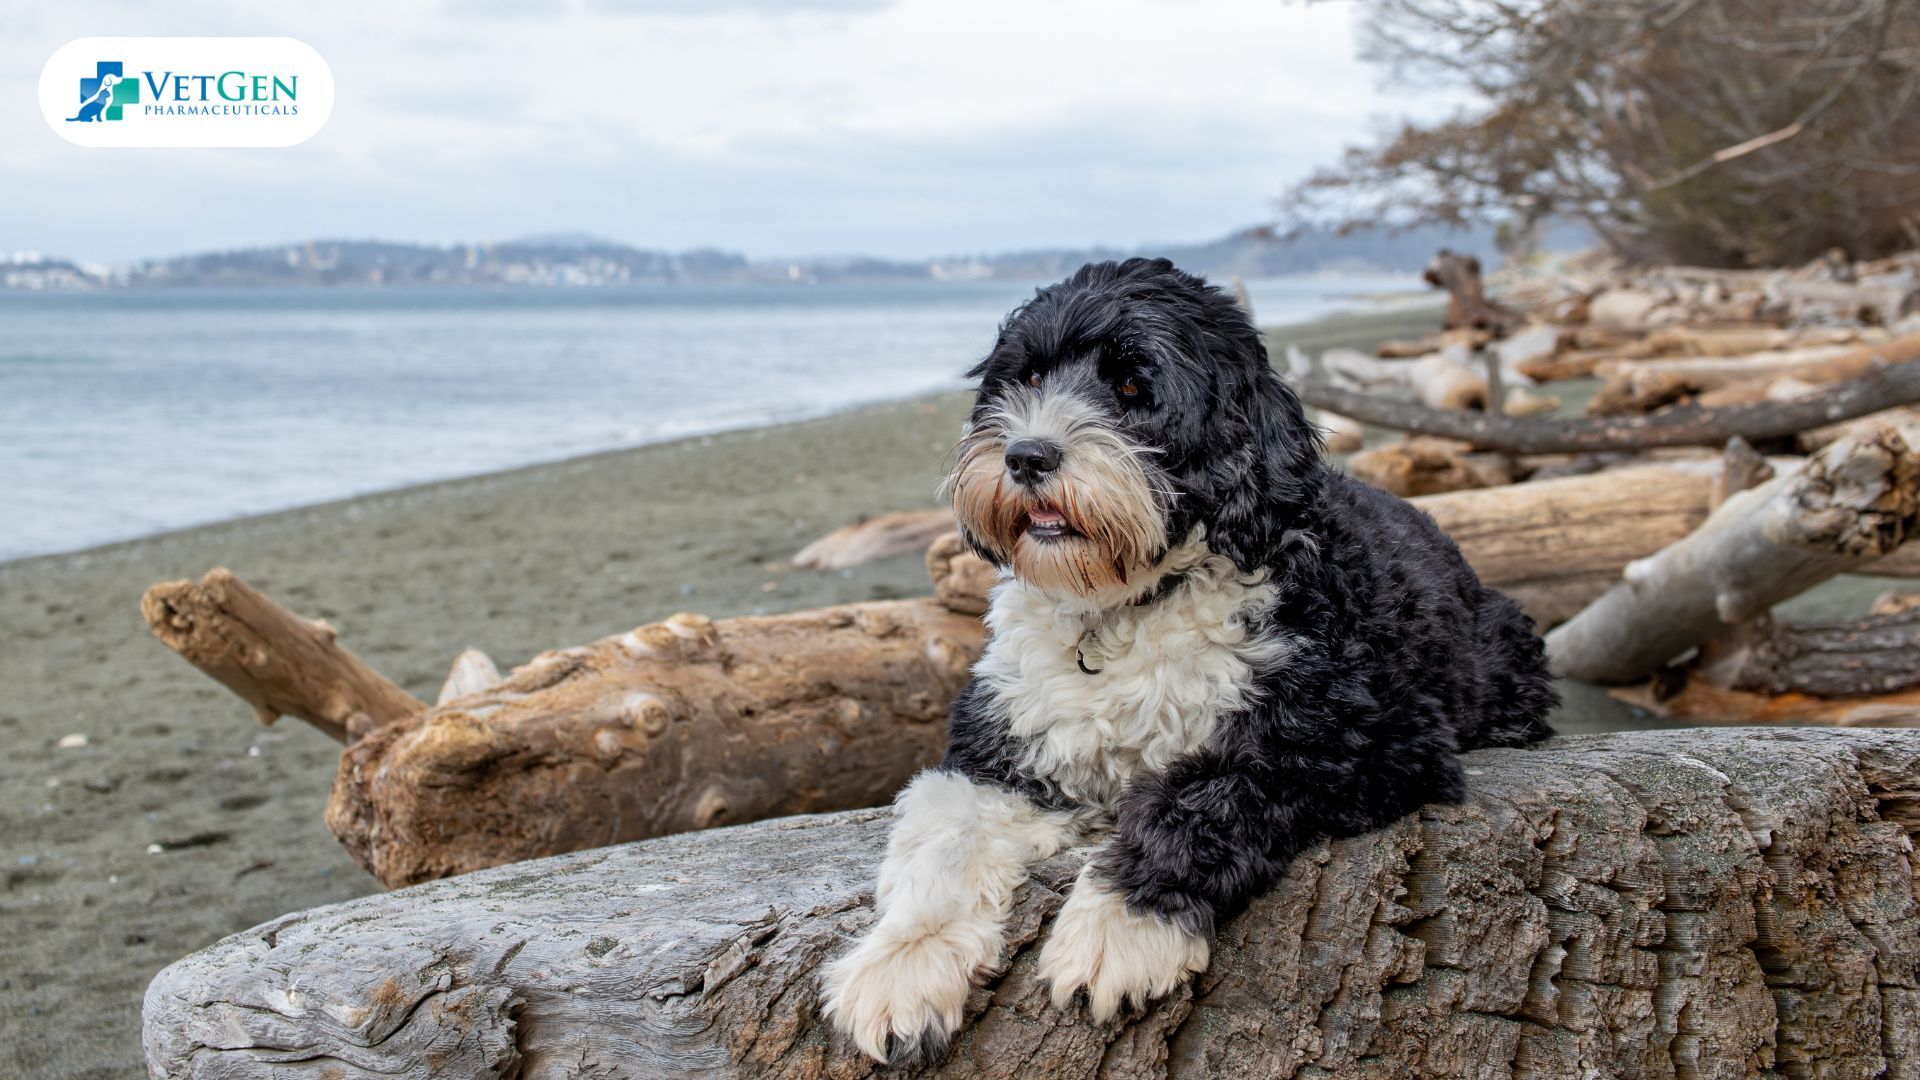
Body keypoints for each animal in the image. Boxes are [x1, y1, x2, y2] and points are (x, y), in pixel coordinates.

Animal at [817, 255, 1551, 1053]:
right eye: (1029, 378)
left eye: (1134, 388)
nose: (1024, 455)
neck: (1125, 606)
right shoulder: (999, 747)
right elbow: (943, 837)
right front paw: (902, 964)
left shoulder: (1364, 735)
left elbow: (1200, 796)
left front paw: (1117, 928)